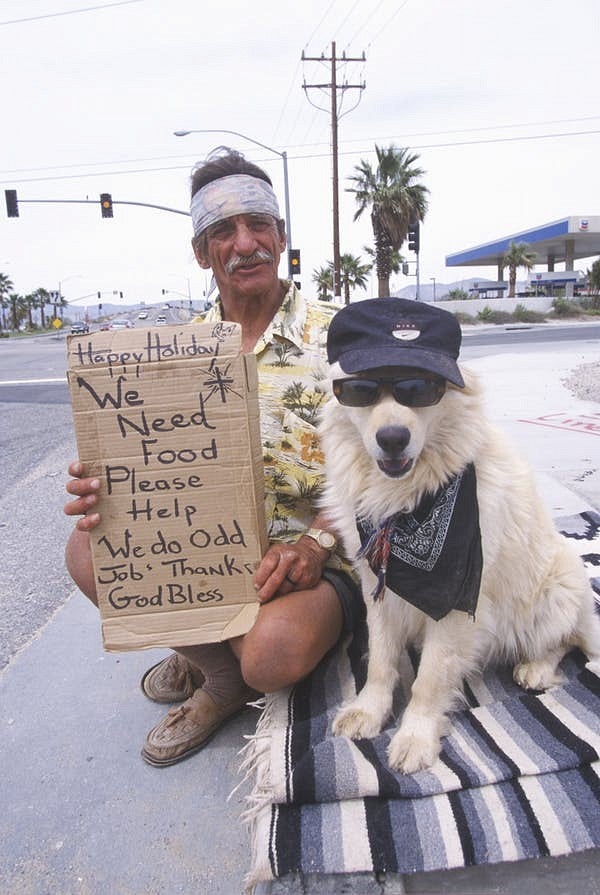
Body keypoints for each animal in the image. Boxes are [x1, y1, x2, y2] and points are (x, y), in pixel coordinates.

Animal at [322, 298, 596, 772]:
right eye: (360, 390)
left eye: (420, 388)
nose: (392, 438)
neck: (408, 501)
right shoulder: (379, 586)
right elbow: (381, 661)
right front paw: (368, 711)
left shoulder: (457, 601)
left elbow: (430, 678)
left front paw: (415, 736)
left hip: (558, 586)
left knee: (563, 641)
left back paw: (536, 668)